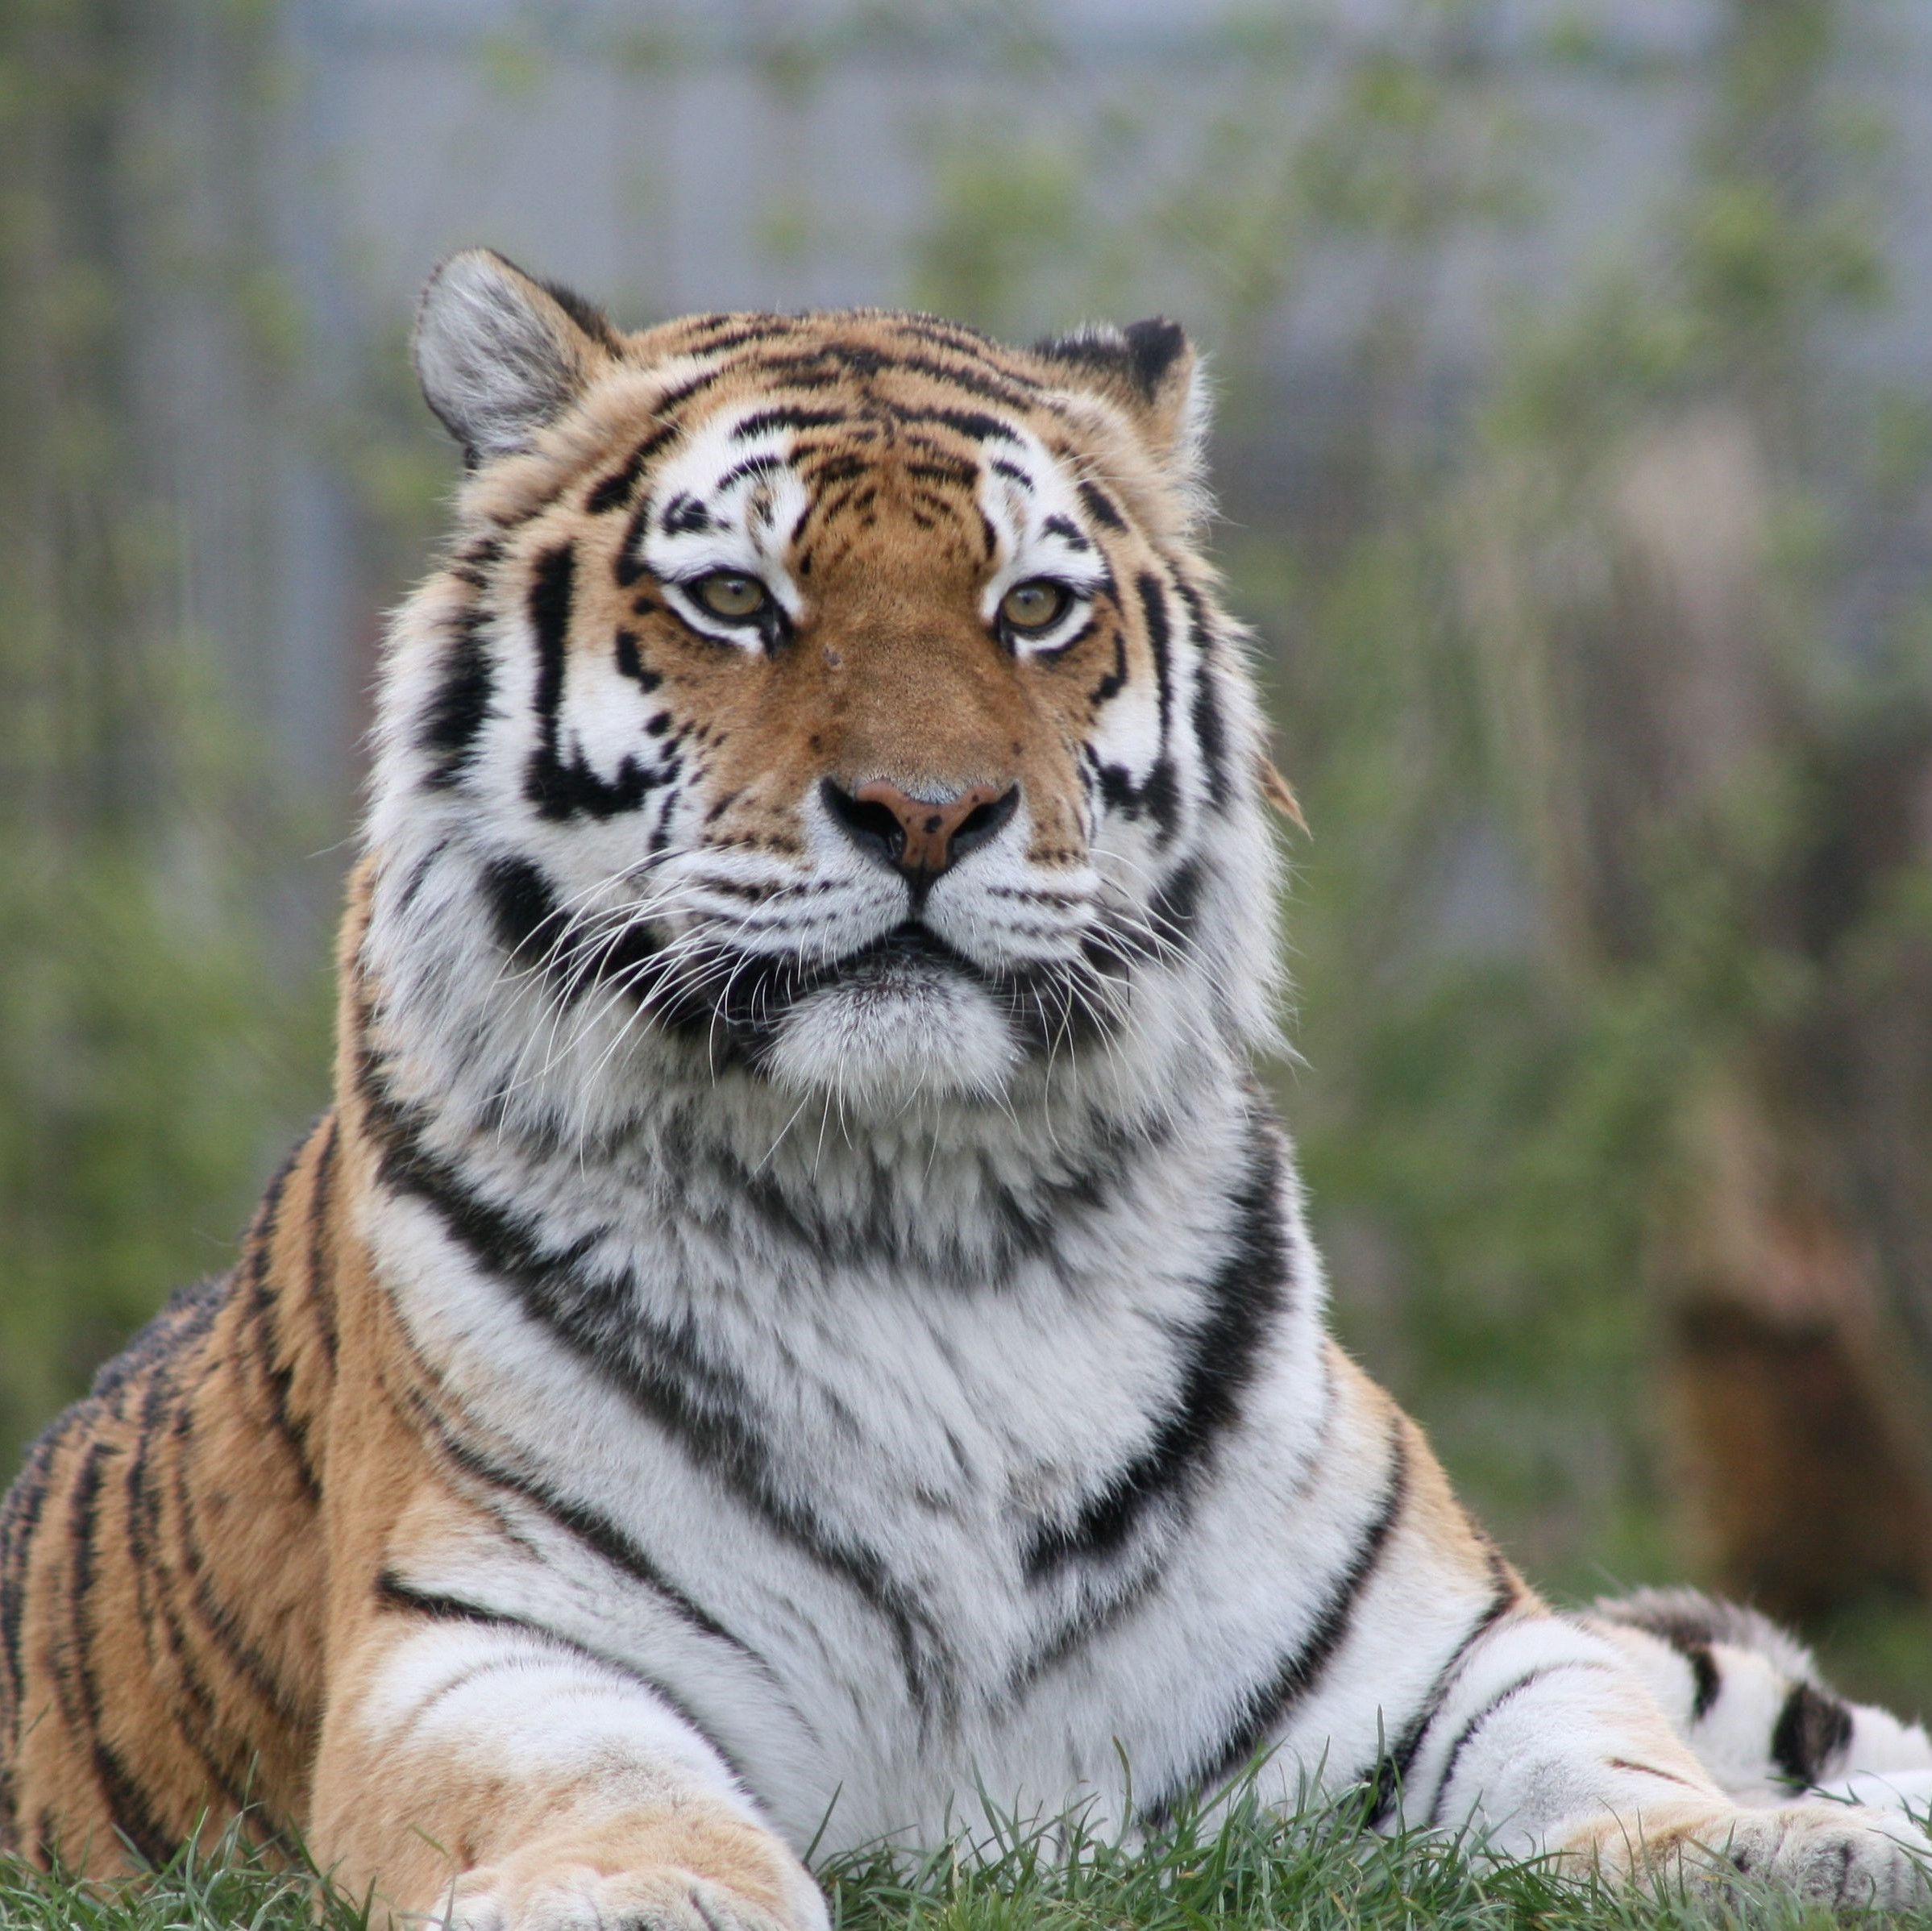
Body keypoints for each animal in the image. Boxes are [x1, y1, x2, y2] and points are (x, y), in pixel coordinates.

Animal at [3, 249, 1930, 1926]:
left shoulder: (1452, 1650)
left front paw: (1783, 1859)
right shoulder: (488, 1641)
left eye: (1033, 609)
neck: (924, 1219)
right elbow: (607, 1785)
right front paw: (646, 1897)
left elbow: (1604, 1762)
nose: (925, 813)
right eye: (734, 600)